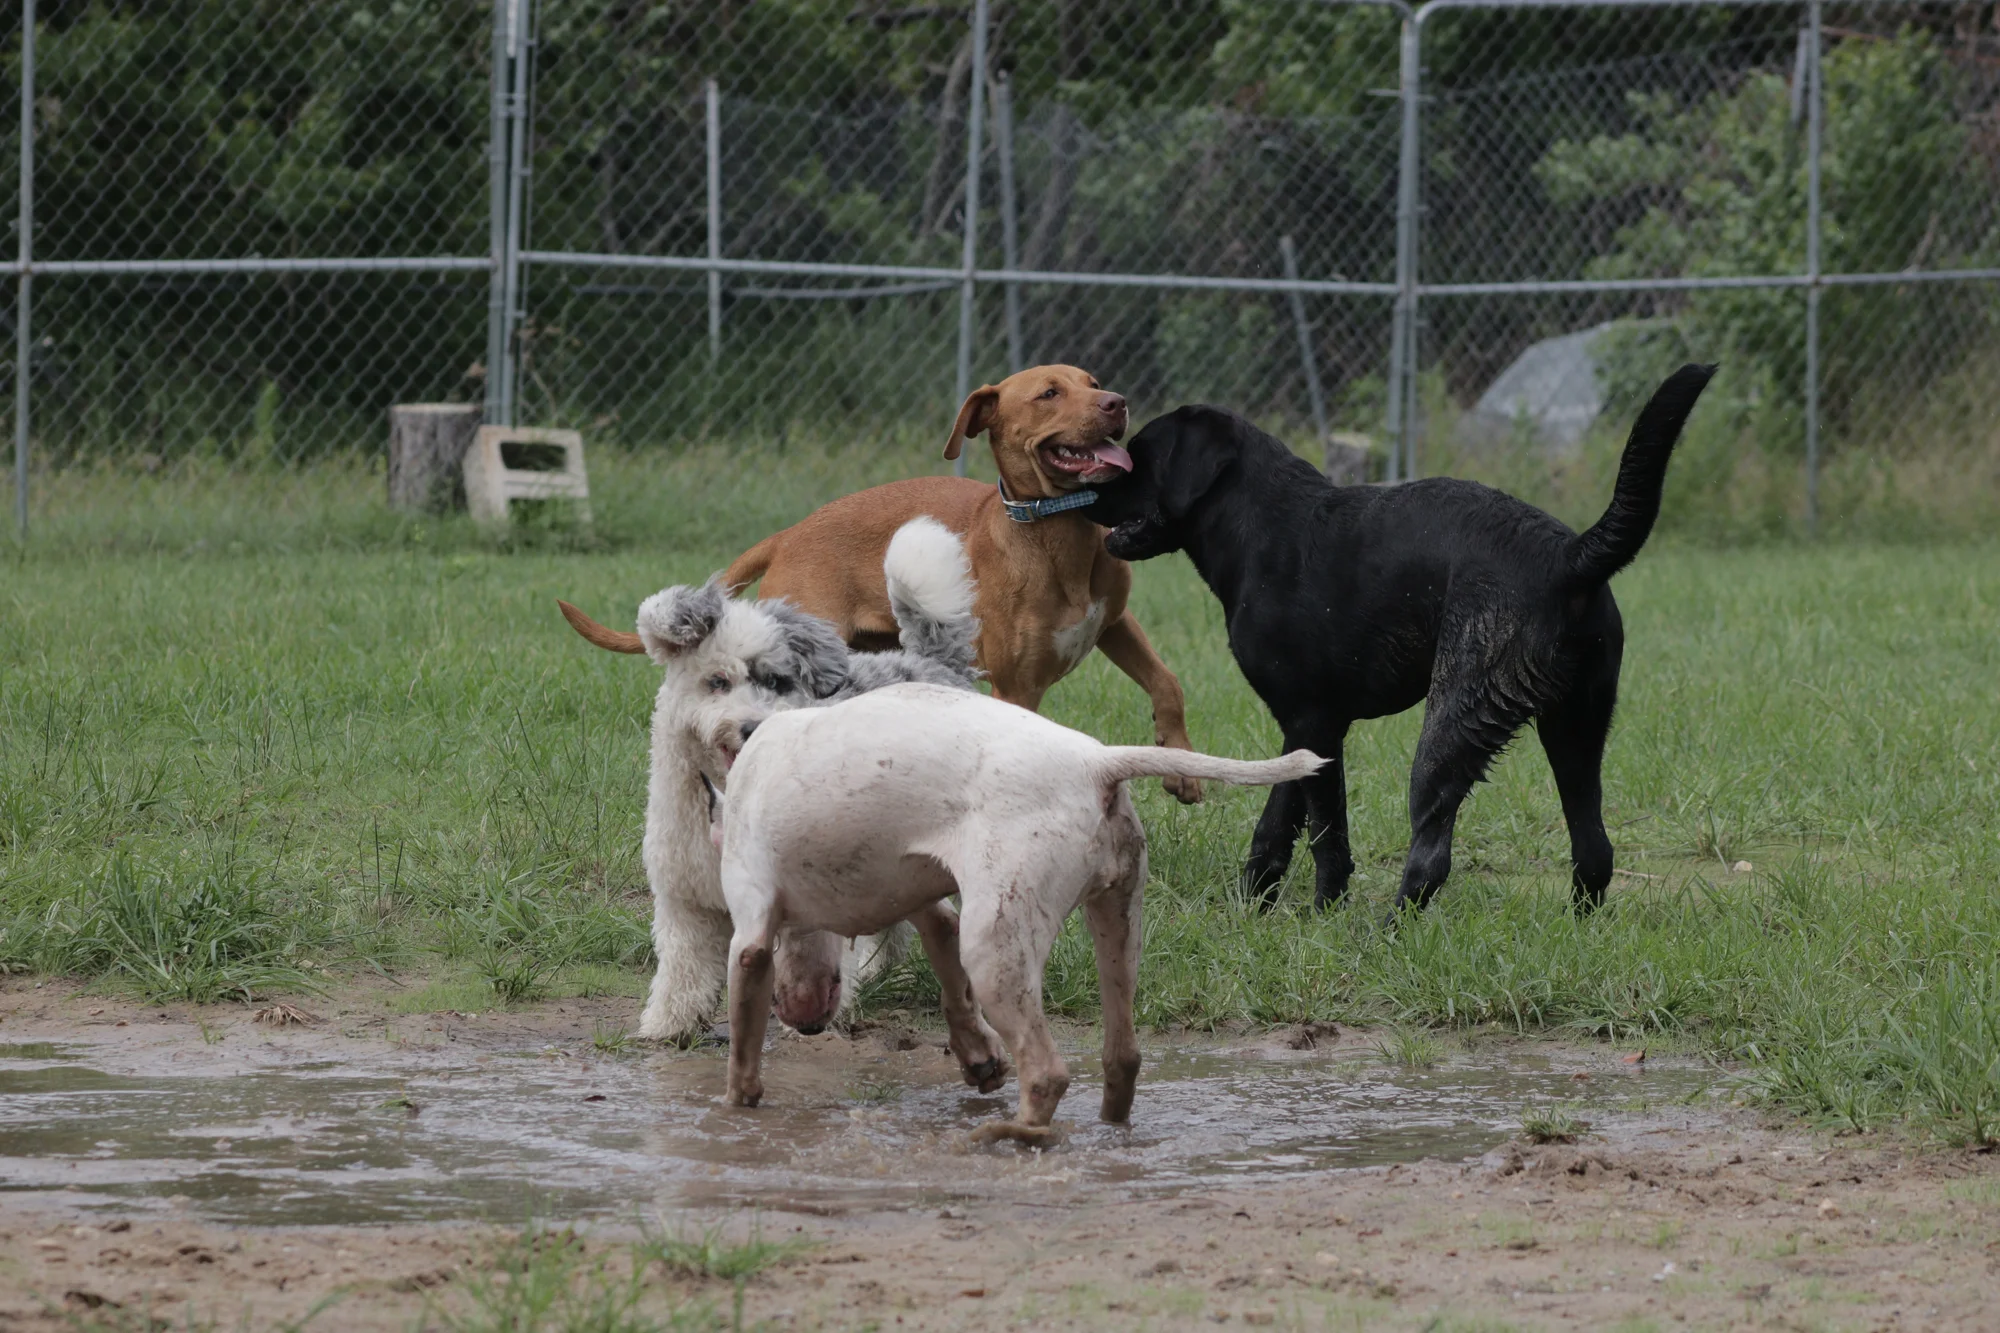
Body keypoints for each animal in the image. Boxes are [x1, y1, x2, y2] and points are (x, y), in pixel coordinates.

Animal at [558, 517, 982, 1043]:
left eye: (777, 681)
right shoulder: (687, 899)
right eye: (717, 681)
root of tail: (934, 663)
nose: (749, 726)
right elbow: (682, 968)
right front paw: (668, 1024)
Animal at [583, 364, 1203, 803]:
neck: (1056, 529)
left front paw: (1182, 767)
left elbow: (1167, 682)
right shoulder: (1017, 688)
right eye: (1049, 393)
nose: (1117, 403)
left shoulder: (1115, 623)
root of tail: (789, 533)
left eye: (1093, 384)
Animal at [713, 681, 1323, 1142]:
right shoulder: (928, 905)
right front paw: (977, 1059)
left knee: (1048, 1073)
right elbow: (950, 979)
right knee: (1121, 1055)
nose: (808, 1025)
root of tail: (1097, 763)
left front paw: (735, 1104)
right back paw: (1107, 1128)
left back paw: (1013, 1134)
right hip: (1116, 919)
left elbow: (743, 1031)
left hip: (997, 947)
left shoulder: (750, 935)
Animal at [1084, 364, 1717, 917]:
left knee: (1432, 857)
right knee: (1594, 849)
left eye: (1139, 457)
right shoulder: (1305, 729)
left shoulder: (1315, 723)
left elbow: (1327, 835)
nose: (1087, 500)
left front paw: (1323, 914)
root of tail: (1570, 556)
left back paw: (1387, 931)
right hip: (1576, 731)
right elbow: (1276, 824)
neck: (1261, 523)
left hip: (1451, 729)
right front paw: (1255, 903)